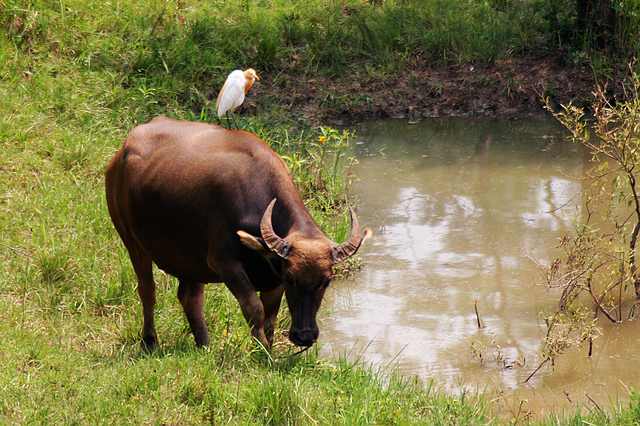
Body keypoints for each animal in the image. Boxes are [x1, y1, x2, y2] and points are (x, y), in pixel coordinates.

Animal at [105, 117, 370, 350]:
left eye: (326, 280)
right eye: (291, 278)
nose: (304, 336)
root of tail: (121, 154)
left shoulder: (272, 277)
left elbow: (270, 317)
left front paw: (267, 350)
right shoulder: (225, 264)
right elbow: (254, 309)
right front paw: (260, 350)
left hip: (189, 258)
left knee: (190, 296)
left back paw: (204, 344)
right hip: (131, 240)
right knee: (147, 290)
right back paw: (150, 341)